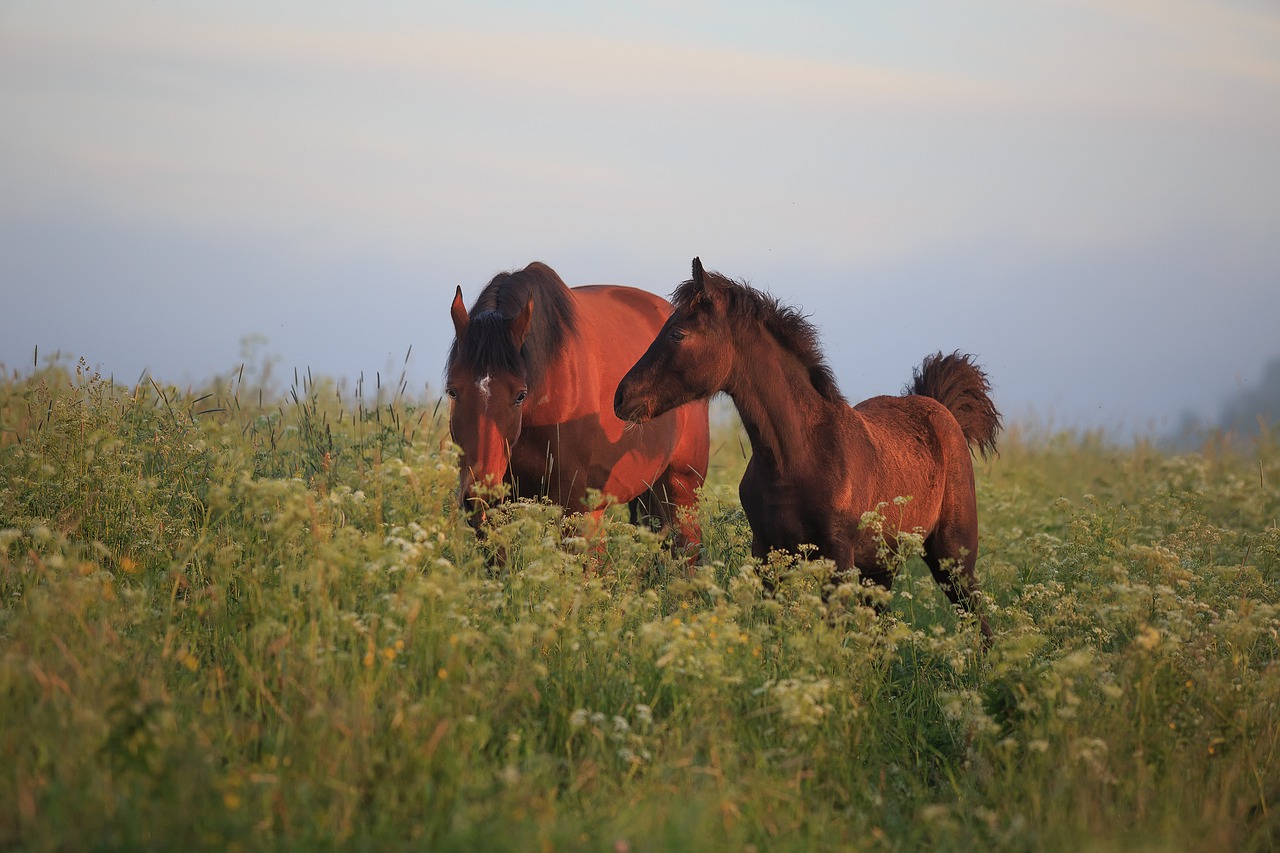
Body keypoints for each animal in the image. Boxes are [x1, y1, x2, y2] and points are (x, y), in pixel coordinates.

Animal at [614, 258, 1003, 637]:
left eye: (678, 334)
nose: (621, 398)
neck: (792, 457)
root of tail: (944, 410)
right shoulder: (767, 553)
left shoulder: (838, 557)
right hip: (880, 566)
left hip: (952, 557)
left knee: (980, 622)